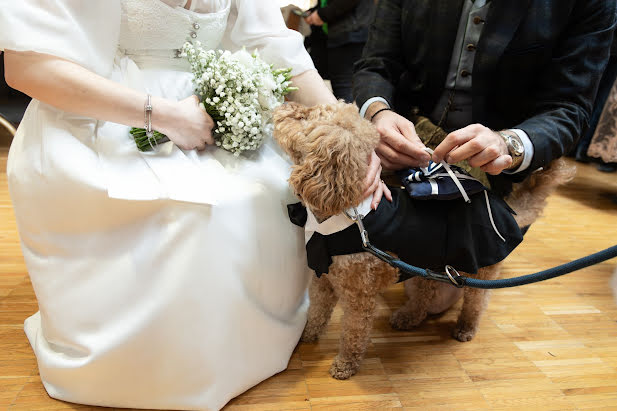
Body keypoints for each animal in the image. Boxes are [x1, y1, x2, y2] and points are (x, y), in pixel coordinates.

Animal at [272, 100, 576, 380]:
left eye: (305, 117)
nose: (283, 105)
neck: (349, 214)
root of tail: (504, 209)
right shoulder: (324, 280)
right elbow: (317, 312)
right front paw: (306, 337)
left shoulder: (359, 296)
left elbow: (353, 333)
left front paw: (345, 365)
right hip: (429, 268)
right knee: (424, 296)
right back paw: (408, 317)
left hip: (480, 269)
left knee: (477, 302)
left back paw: (465, 328)